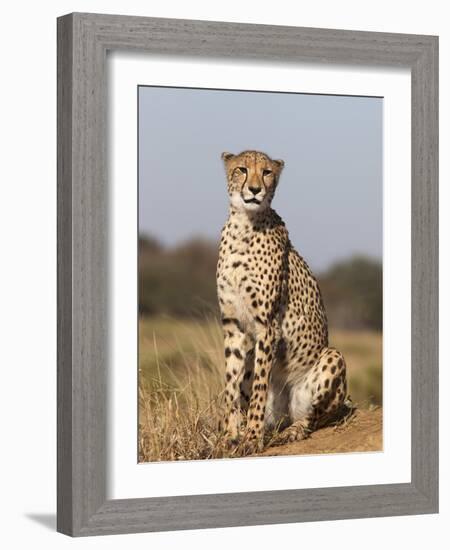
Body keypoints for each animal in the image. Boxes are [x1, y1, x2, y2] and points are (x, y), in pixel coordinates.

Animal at [217, 151, 348, 452]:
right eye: (242, 169)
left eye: (266, 172)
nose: (255, 190)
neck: (244, 224)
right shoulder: (233, 326)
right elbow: (230, 386)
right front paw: (230, 436)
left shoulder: (268, 326)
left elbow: (259, 389)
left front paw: (251, 440)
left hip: (331, 357)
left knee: (313, 418)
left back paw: (291, 432)